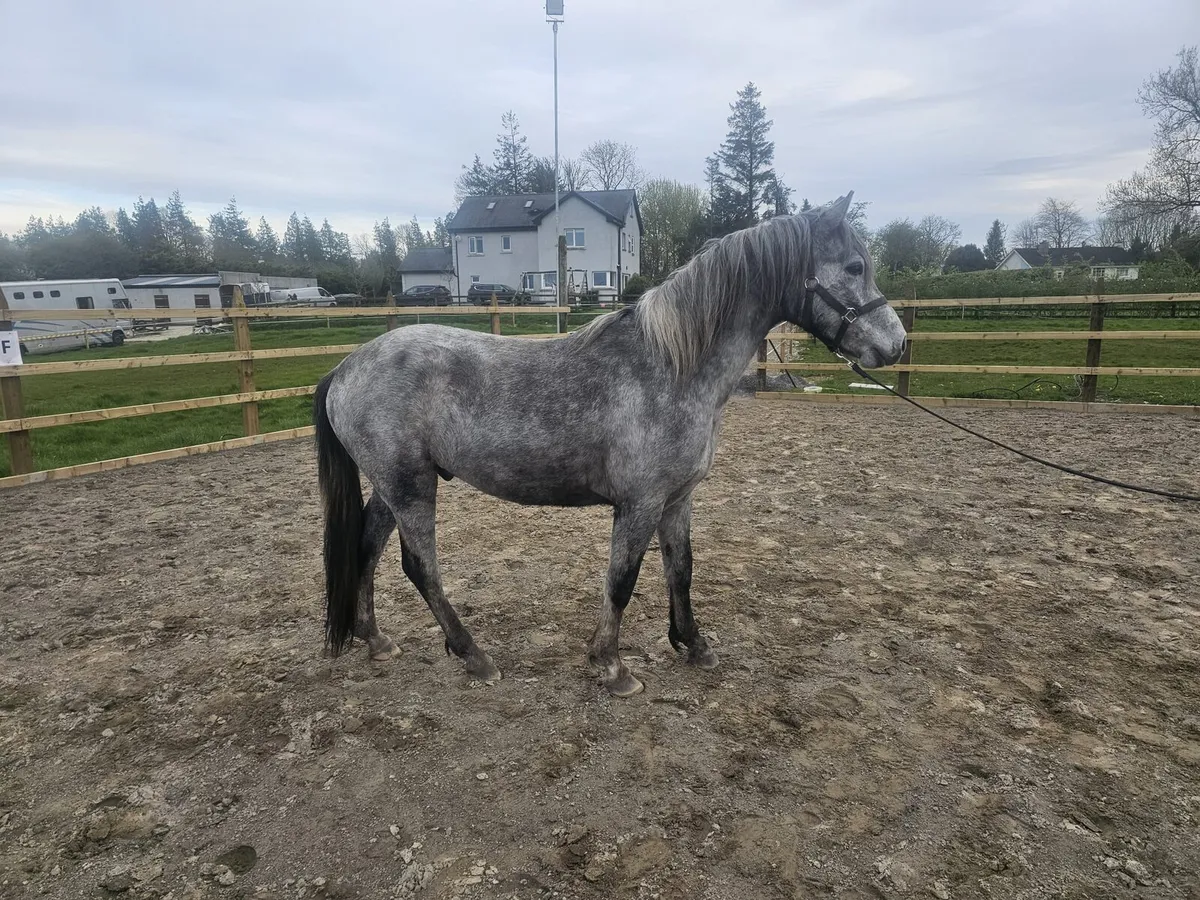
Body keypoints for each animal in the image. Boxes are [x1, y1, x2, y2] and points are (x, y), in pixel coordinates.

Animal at [312, 192, 907, 697]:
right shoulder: (639, 503)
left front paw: (693, 644)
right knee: (420, 567)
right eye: (854, 268)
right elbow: (622, 580)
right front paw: (613, 667)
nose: (897, 345)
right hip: (410, 486)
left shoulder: (677, 500)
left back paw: (375, 639)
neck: (671, 366)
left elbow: (681, 569)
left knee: (367, 547)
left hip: (393, 486)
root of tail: (344, 368)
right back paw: (473, 656)